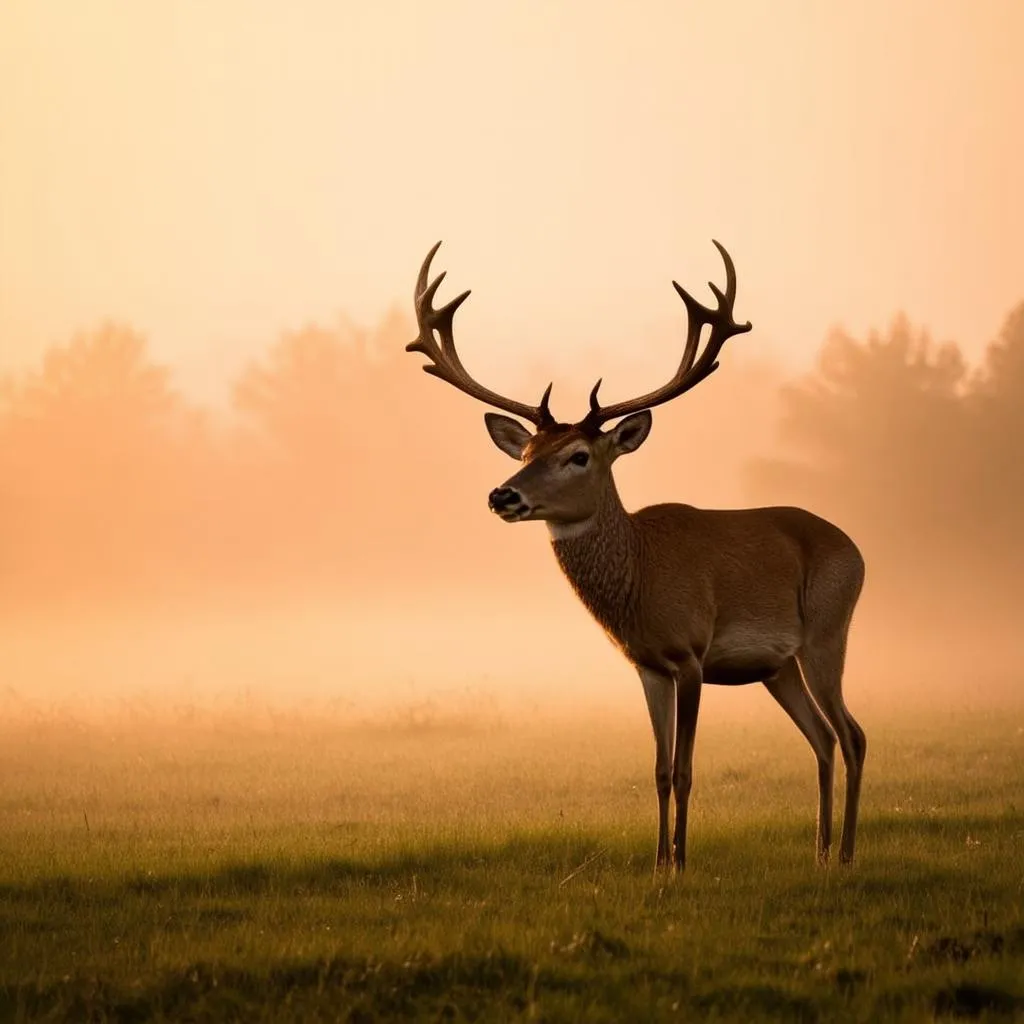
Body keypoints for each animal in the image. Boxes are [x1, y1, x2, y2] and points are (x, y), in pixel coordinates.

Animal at [405, 239, 864, 872]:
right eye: (525, 449)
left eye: (578, 455)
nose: (503, 495)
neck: (641, 580)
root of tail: (856, 547)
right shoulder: (646, 663)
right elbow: (660, 770)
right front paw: (658, 862)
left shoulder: (692, 654)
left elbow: (689, 769)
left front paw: (683, 862)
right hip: (779, 666)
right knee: (822, 738)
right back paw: (819, 851)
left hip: (827, 630)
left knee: (853, 735)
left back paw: (845, 853)